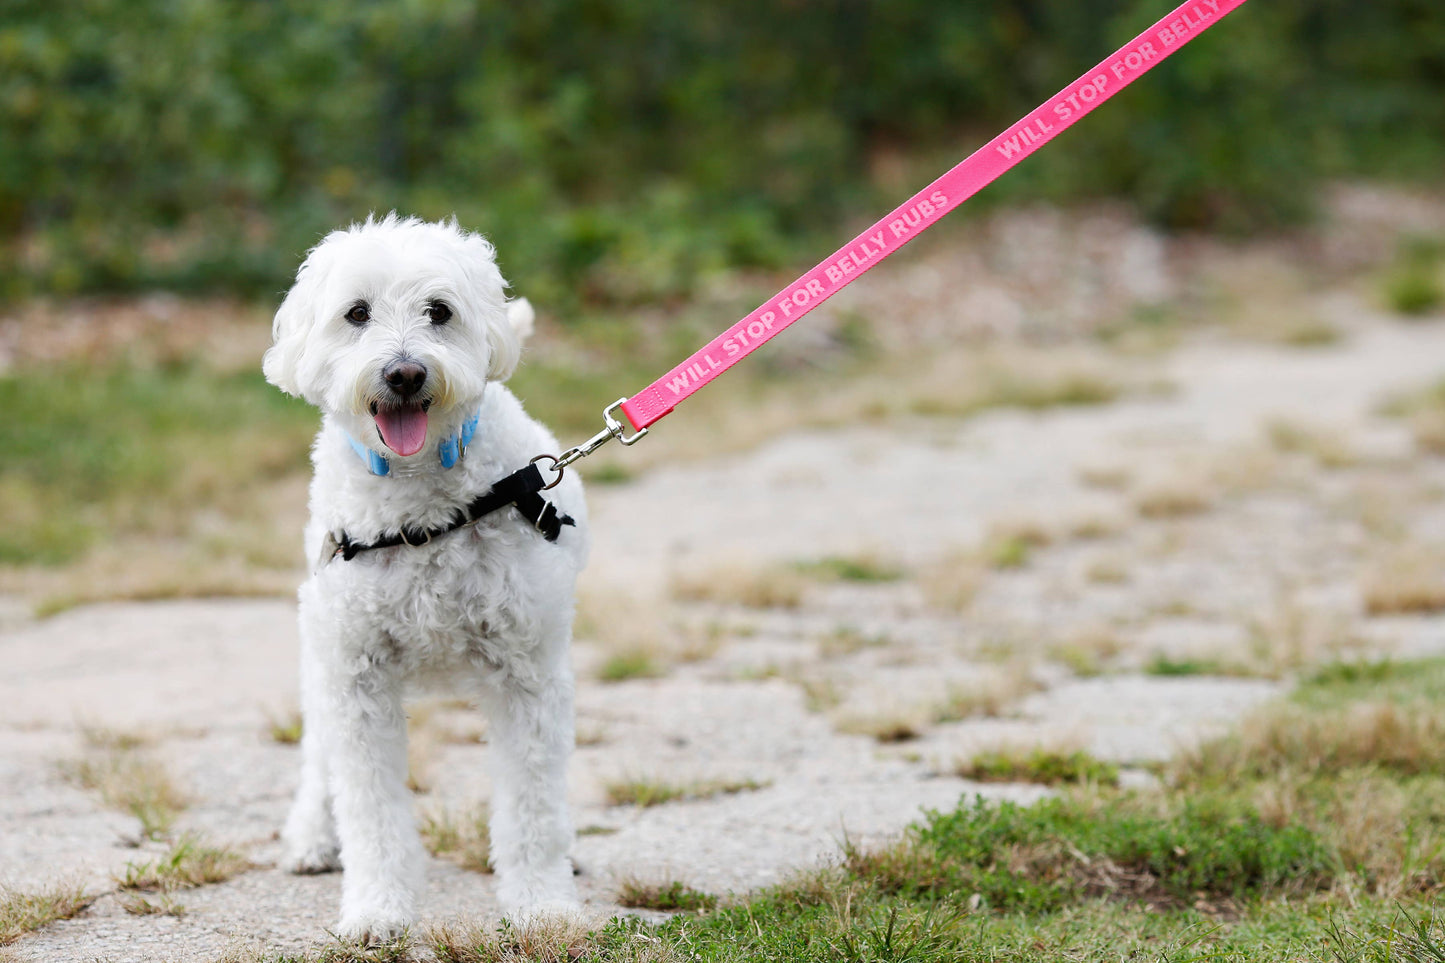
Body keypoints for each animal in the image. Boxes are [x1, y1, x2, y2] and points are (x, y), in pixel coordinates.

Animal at [262, 212, 583, 936]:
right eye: (356, 313)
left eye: (440, 311)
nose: (405, 373)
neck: (421, 507)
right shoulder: (355, 677)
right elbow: (369, 811)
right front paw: (377, 910)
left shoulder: (528, 673)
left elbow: (535, 807)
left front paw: (543, 905)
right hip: (319, 653)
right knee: (316, 756)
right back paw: (309, 836)